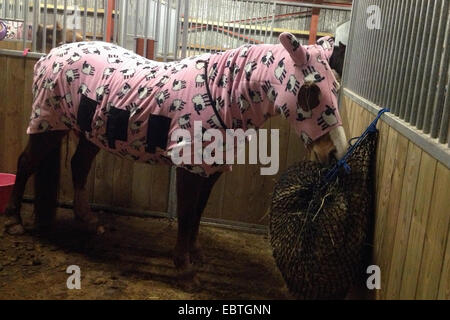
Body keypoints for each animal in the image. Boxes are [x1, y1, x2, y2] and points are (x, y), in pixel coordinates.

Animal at [3, 31, 348, 278]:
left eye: (336, 88)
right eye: (309, 91)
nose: (335, 154)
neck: (221, 97)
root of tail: (49, 56)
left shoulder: (211, 169)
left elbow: (197, 215)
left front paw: (195, 254)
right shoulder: (189, 166)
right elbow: (185, 213)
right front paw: (182, 263)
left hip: (90, 132)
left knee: (79, 166)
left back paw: (88, 220)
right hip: (49, 123)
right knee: (26, 163)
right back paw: (14, 220)